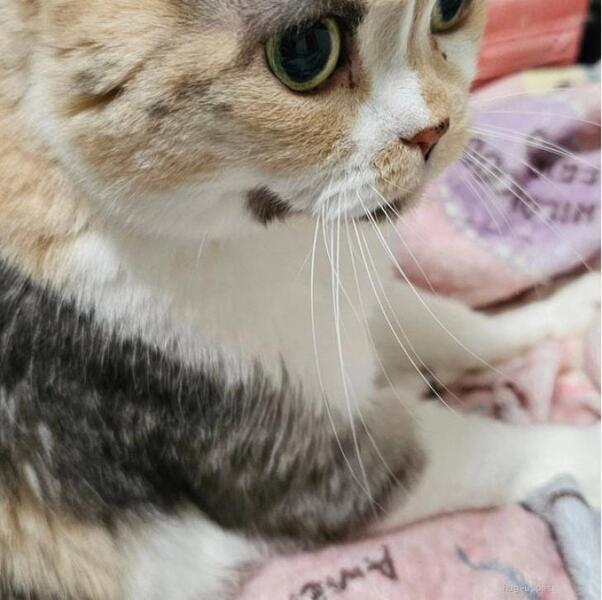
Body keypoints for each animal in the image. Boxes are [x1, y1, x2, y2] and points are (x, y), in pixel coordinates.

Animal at [0, 0, 599, 599]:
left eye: (449, 10)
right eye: (306, 50)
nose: (433, 131)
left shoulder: (339, 306)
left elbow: (448, 323)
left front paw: (569, 309)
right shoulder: (302, 468)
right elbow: (487, 449)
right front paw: (585, 449)